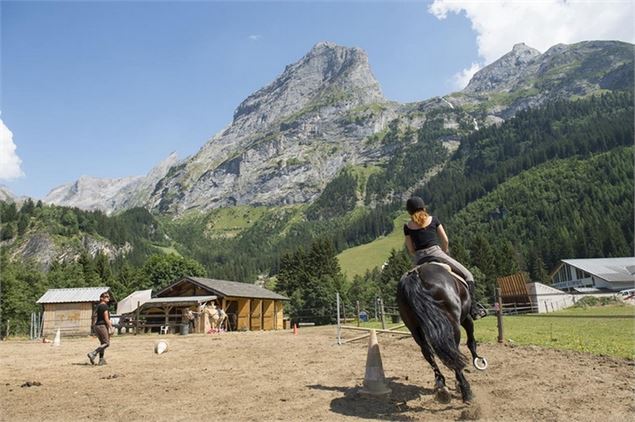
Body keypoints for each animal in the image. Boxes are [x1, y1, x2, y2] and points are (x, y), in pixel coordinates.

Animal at [400, 260, 490, 402]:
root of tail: (416, 273)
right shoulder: (466, 318)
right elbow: (471, 340)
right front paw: (478, 360)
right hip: (452, 325)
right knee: (453, 353)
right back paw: (466, 391)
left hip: (415, 329)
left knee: (428, 353)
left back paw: (441, 386)